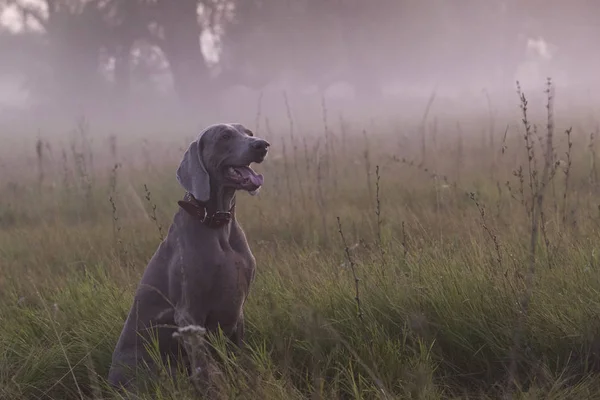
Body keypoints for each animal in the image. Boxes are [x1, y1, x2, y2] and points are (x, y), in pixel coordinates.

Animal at [107, 122, 270, 390]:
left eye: (248, 132)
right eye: (225, 136)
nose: (262, 145)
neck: (217, 224)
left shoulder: (238, 310)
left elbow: (238, 357)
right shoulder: (188, 315)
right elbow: (205, 371)